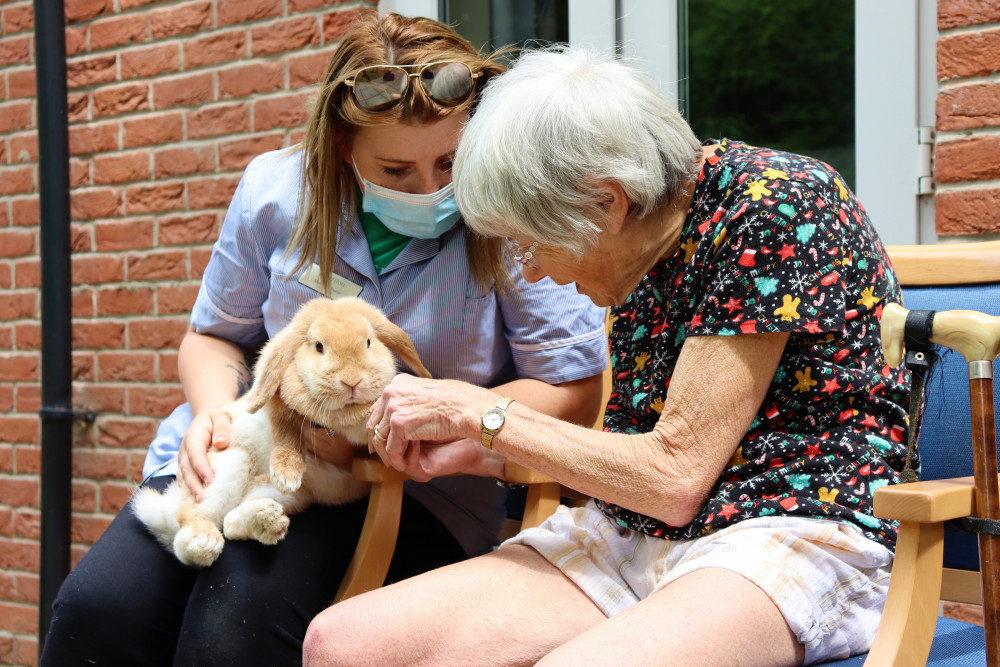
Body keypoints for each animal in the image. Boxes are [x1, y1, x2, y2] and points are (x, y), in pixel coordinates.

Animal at [132, 298, 430, 568]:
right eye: (319, 346)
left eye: (369, 342)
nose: (352, 381)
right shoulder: (283, 405)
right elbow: (287, 429)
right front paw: (287, 473)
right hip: (227, 468)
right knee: (188, 530)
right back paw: (204, 541)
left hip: (292, 496)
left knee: (230, 523)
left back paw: (267, 520)